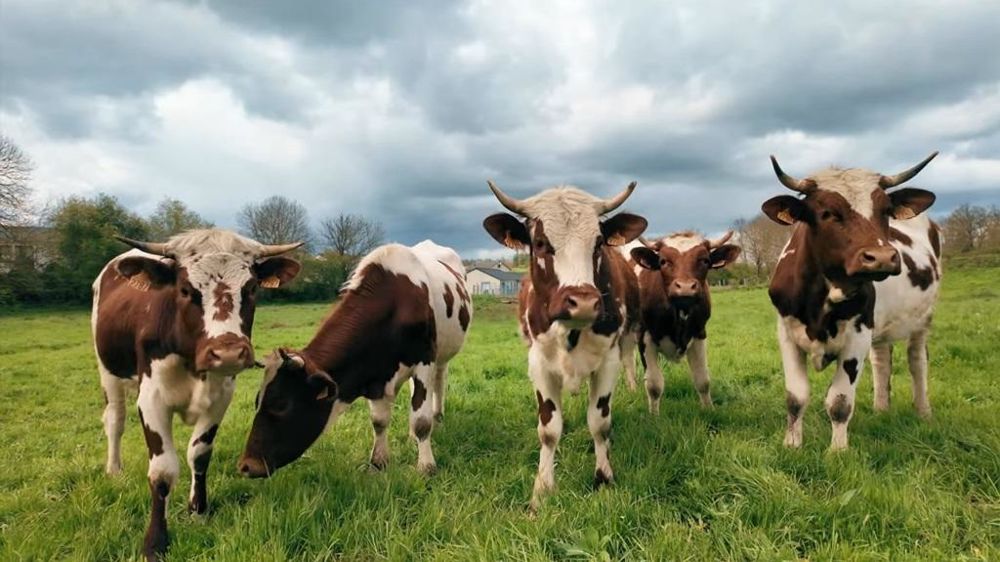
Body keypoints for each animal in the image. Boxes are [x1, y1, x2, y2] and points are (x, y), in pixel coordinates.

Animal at [92, 229, 302, 561]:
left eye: (252, 287)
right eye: (185, 289)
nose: (228, 352)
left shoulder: (220, 397)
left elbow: (199, 455)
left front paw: (198, 511)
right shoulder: (151, 400)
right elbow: (162, 471)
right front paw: (156, 542)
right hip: (108, 373)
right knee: (115, 420)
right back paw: (114, 469)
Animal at [238, 240, 471, 478]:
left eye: (281, 404)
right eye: (257, 401)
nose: (246, 466)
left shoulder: (424, 360)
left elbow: (421, 421)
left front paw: (426, 466)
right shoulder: (373, 372)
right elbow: (379, 421)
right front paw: (378, 463)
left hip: (442, 353)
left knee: (439, 381)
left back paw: (437, 418)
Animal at [482, 180, 646, 511]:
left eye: (598, 243)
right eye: (541, 242)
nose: (582, 302)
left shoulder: (608, 362)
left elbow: (599, 422)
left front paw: (604, 478)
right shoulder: (539, 365)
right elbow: (548, 429)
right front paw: (542, 489)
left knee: (629, 360)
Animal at [624, 231, 742, 412]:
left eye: (705, 260)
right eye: (663, 261)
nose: (685, 287)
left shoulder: (700, 333)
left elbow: (702, 380)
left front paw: (709, 410)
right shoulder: (645, 336)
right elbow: (654, 385)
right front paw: (653, 415)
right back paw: (631, 388)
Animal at [761, 152, 939, 450]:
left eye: (885, 210)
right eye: (827, 213)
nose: (881, 257)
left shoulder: (858, 334)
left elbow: (840, 401)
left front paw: (837, 451)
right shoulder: (785, 333)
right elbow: (796, 397)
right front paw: (792, 445)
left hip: (922, 320)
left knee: (917, 361)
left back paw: (924, 412)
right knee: (882, 360)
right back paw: (881, 410)